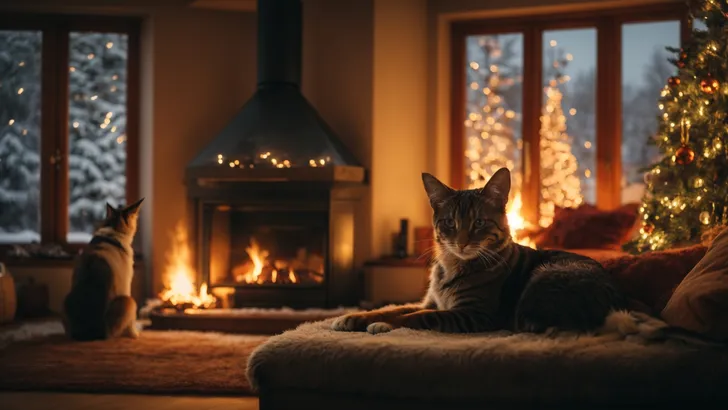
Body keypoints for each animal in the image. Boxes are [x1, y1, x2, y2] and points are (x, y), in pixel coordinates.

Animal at [332, 168, 628, 334]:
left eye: (479, 223)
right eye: (450, 222)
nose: (462, 242)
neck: (450, 265)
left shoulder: (473, 314)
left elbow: (418, 317)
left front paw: (388, 327)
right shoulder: (430, 301)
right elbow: (390, 309)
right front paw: (351, 317)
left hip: (541, 282)